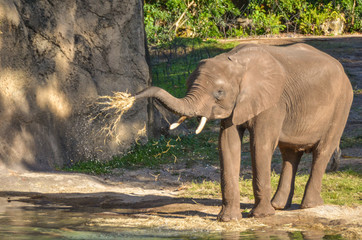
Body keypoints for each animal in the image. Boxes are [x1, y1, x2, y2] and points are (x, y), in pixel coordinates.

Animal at [134, 43, 352, 221]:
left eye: (219, 92)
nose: (133, 95)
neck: (237, 61)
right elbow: (227, 144)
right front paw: (228, 219)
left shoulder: (272, 102)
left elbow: (260, 144)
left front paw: (260, 216)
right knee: (289, 154)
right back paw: (279, 206)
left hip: (342, 105)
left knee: (322, 151)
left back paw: (308, 205)